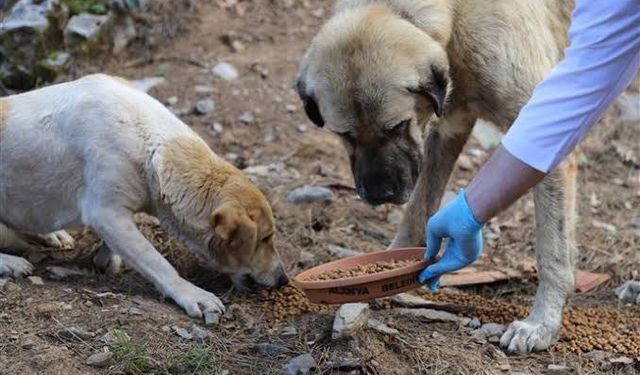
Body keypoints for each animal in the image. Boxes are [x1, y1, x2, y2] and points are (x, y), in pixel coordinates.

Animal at [0, 75, 288, 318]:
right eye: (264, 238)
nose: (283, 280)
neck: (150, 142)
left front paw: (106, 258)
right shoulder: (106, 213)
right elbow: (157, 262)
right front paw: (192, 294)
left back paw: (53, 235)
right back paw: (12, 262)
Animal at [298, 0, 576, 354]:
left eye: (396, 126)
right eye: (345, 135)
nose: (379, 195)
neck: (455, 16)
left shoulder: (545, 137)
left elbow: (552, 253)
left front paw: (542, 323)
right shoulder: (448, 129)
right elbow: (417, 212)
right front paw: (390, 272)